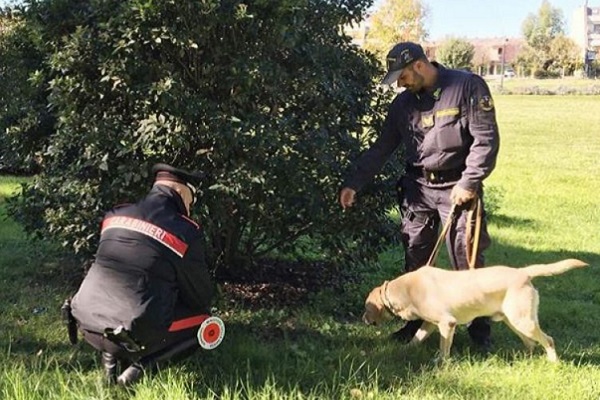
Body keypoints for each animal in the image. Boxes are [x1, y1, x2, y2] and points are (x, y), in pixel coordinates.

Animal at [364, 260, 588, 362]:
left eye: (366, 307)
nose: (364, 319)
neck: (407, 289)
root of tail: (523, 272)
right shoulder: (430, 323)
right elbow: (416, 338)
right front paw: (403, 350)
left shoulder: (447, 323)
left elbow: (443, 348)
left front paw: (441, 363)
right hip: (514, 321)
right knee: (531, 343)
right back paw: (525, 359)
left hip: (523, 321)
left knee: (548, 340)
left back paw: (553, 362)